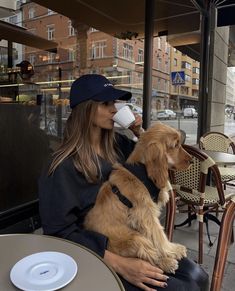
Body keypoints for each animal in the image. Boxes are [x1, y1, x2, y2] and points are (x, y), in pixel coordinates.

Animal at [84, 122, 191, 274]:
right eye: (175, 145)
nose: (192, 160)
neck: (142, 170)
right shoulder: (145, 213)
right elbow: (159, 235)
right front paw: (173, 250)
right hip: (133, 238)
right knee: (149, 254)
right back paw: (167, 262)